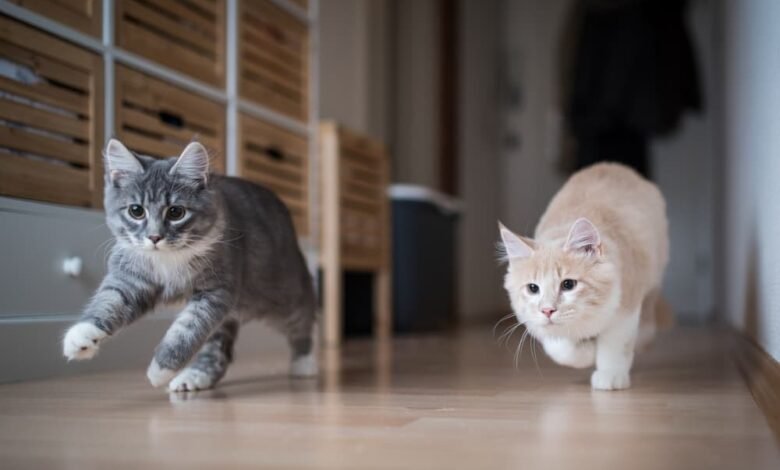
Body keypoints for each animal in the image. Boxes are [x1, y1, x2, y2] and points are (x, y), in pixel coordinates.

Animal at [61, 140, 316, 392]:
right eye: (136, 211)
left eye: (176, 212)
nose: (154, 237)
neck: (168, 259)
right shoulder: (131, 277)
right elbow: (110, 300)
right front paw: (81, 336)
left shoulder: (216, 291)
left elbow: (187, 329)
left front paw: (161, 369)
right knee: (216, 350)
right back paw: (195, 377)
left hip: (281, 295)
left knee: (304, 317)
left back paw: (305, 362)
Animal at [500, 163, 672, 392]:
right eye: (533, 288)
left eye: (568, 284)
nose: (547, 310)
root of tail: (613, 165)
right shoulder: (536, 323)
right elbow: (562, 349)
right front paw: (587, 351)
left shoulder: (625, 306)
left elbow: (614, 345)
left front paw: (610, 374)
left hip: (653, 273)